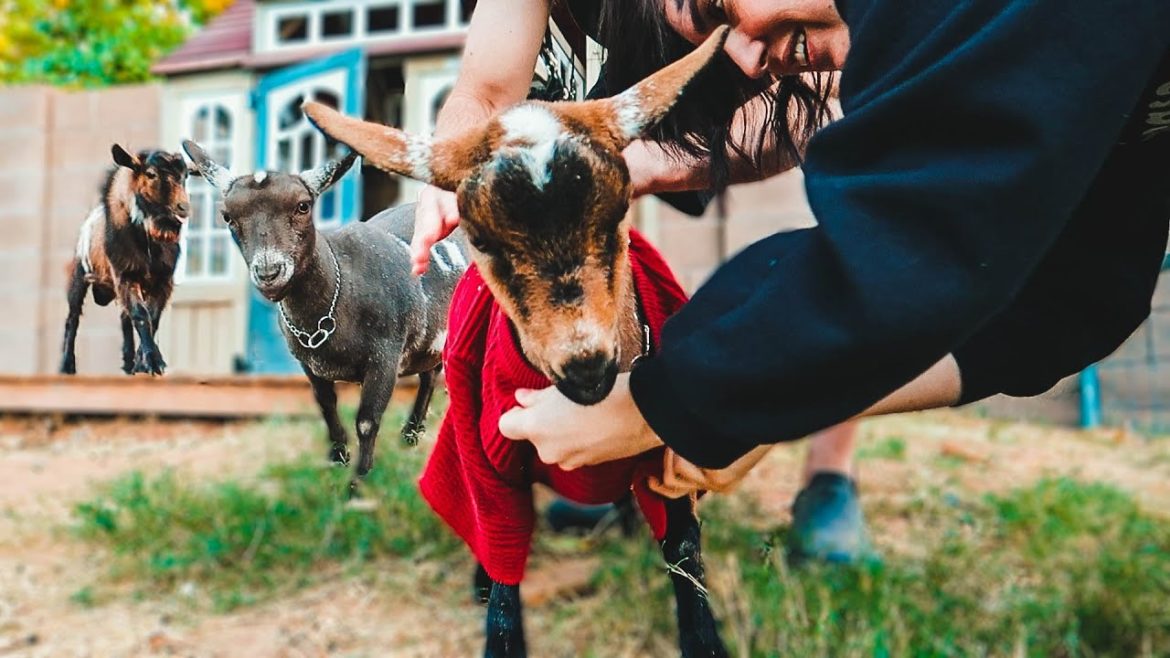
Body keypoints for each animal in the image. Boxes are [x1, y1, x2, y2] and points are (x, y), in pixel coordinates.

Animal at [60, 145, 190, 376]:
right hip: (79, 275)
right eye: (151, 174)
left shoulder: (163, 281)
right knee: (73, 317)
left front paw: (145, 362)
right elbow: (141, 315)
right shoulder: (125, 275)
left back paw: (129, 363)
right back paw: (67, 366)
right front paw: (151, 362)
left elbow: (152, 317)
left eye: (186, 176)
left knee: (124, 318)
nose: (183, 207)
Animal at [180, 141, 468, 487]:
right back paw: (410, 435)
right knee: (429, 374)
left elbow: (367, 421)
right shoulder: (309, 363)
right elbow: (326, 406)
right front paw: (337, 459)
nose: (269, 272)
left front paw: (358, 483)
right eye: (227, 215)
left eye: (303, 206)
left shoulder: (385, 356)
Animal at [304, 27, 732, 658]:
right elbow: (504, 554)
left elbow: (683, 554)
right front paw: (493, 597)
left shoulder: (663, 454)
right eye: (479, 237)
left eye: (620, 209)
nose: (586, 366)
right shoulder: (491, 461)